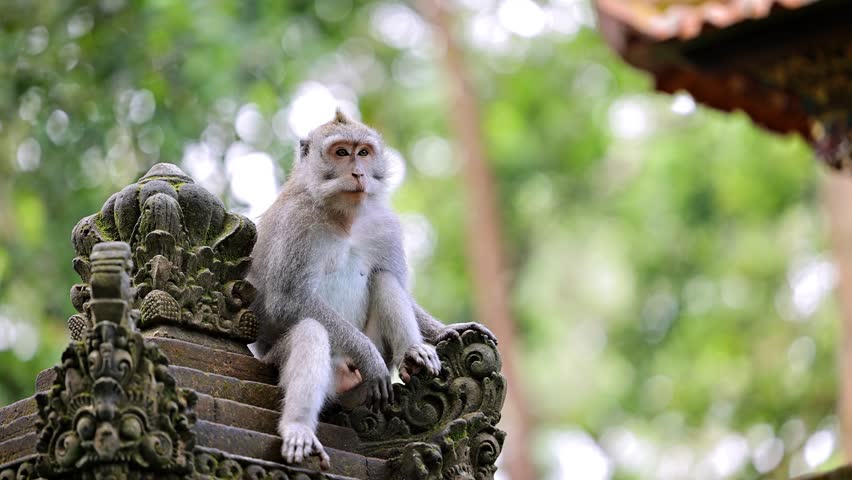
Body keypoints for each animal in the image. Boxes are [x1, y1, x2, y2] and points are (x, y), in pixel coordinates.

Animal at [248, 109, 495, 469]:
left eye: (363, 153)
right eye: (340, 152)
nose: (357, 172)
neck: (344, 217)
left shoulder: (384, 225)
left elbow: (393, 281)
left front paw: (445, 330)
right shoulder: (296, 223)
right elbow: (288, 300)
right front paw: (368, 355)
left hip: (360, 391)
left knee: (383, 279)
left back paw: (413, 355)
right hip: (283, 363)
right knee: (311, 331)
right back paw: (299, 427)